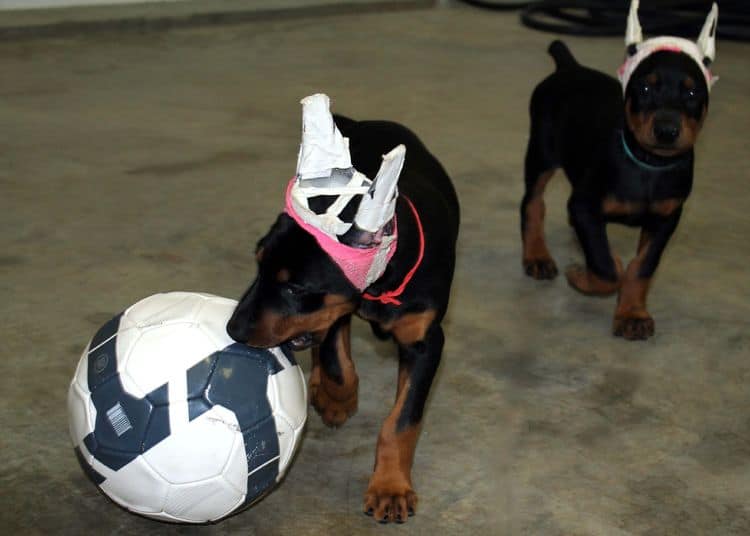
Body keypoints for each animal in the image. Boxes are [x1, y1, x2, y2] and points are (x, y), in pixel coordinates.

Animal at [226, 96, 462, 524]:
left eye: (295, 287)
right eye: (258, 263)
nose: (233, 329)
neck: (382, 285)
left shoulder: (426, 340)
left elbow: (401, 420)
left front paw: (390, 489)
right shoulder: (336, 307)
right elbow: (338, 362)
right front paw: (338, 398)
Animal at [524, 1, 724, 340]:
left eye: (692, 93)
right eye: (644, 88)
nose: (666, 131)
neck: (649, 163)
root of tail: (569, 68)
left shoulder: (666, 219)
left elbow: (642, 267)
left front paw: (632, 314)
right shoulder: (585, 204)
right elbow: (606, 266)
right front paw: (583, 274)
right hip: (541, 153)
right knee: (533, 203)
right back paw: (537, 256)